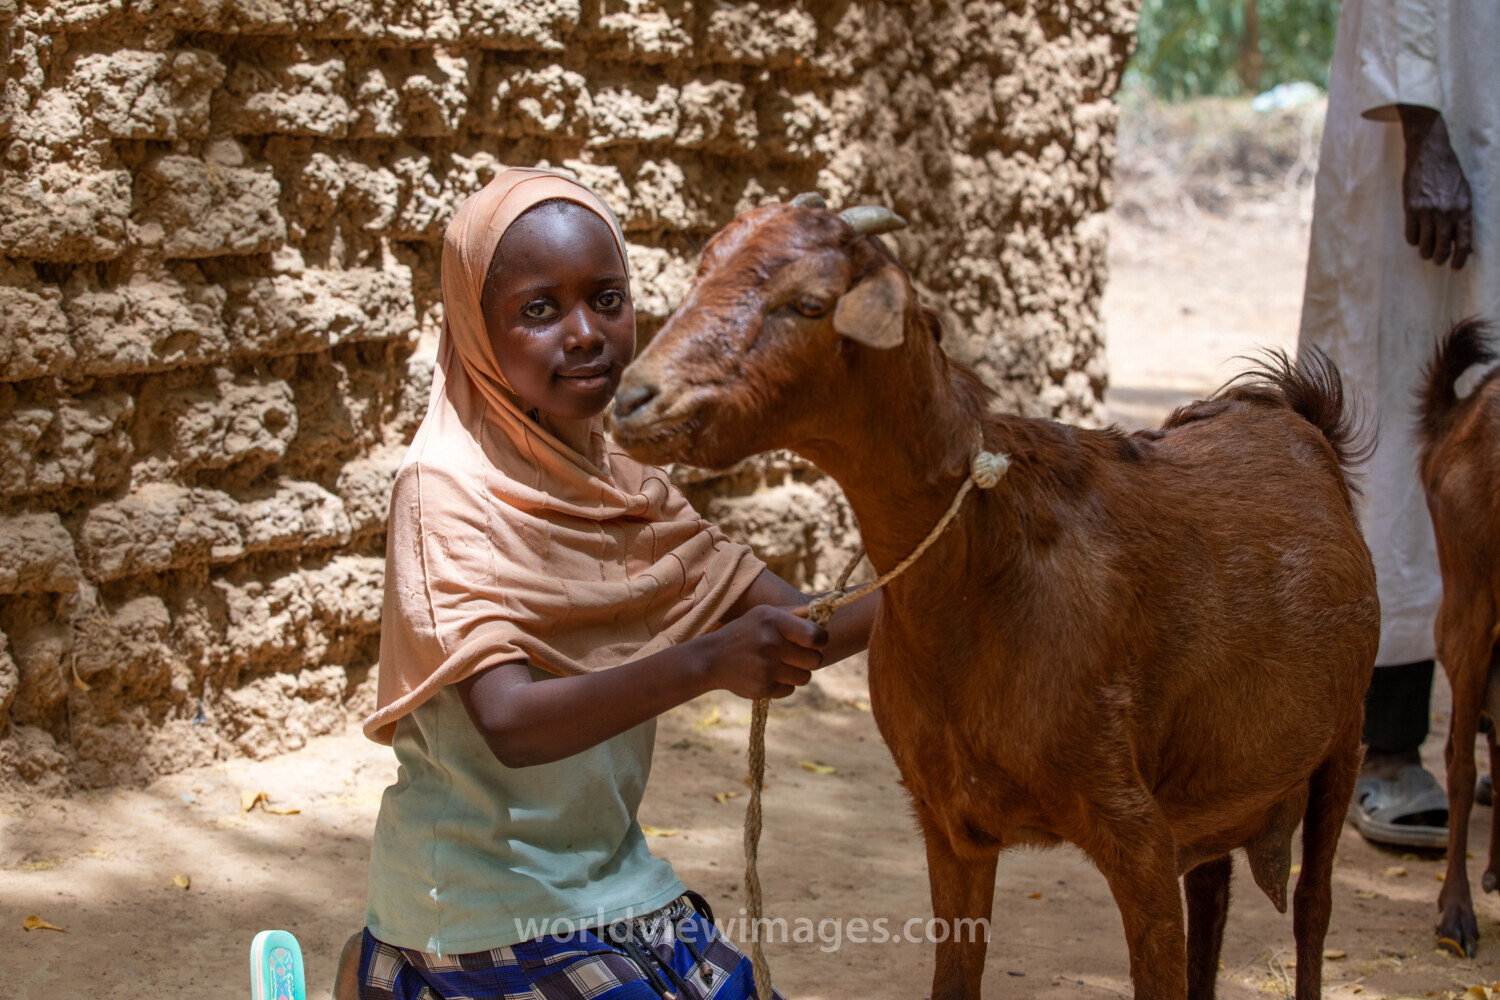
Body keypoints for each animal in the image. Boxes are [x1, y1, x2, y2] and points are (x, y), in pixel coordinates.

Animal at [609, 200, 1380, 1000]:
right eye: (704, 269)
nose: (634, 399)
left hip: (1344, 736)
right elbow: (955, 978)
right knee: (1216, 892)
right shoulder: (951, 822)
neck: (984, 576)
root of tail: (1292, 412)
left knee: (1312, 905)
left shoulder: (1137, 832)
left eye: (810, 303)